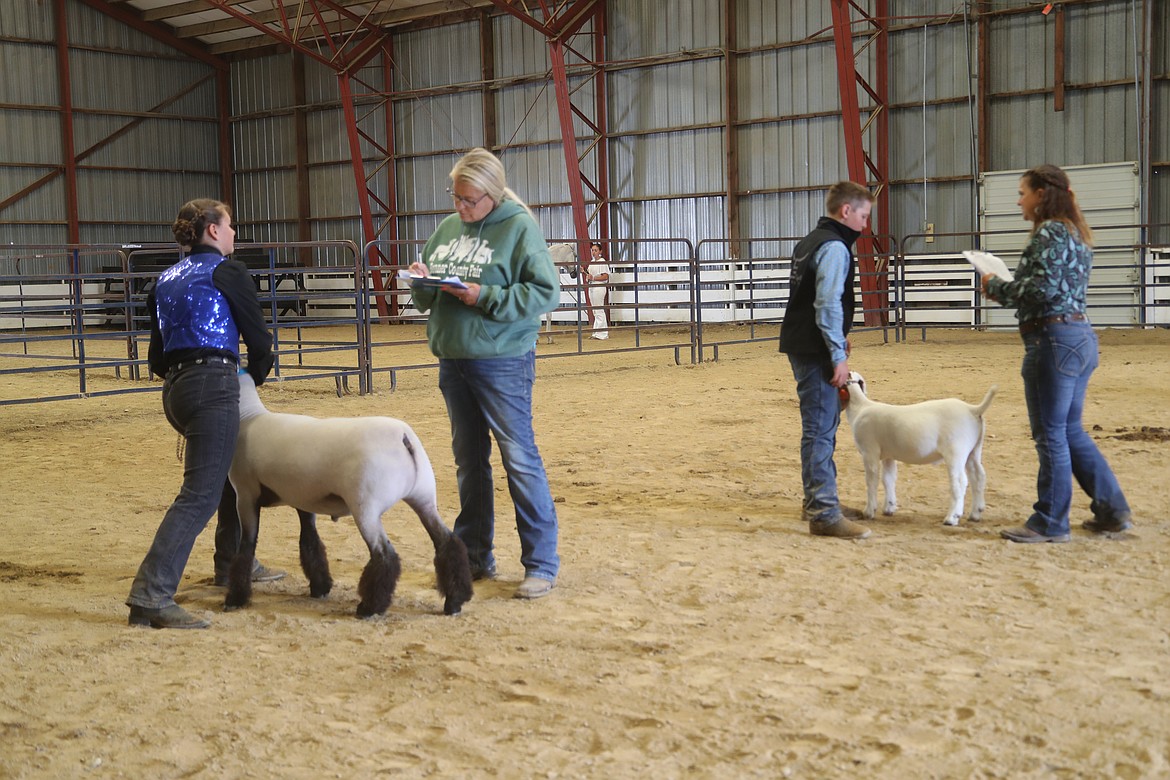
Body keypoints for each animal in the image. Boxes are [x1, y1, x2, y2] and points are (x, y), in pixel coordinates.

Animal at [223, 371, 470, 617]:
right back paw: (454, 601)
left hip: (365, 506)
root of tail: (404, 438)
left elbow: (246, 547)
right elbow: (310, 542)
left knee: (384, 555)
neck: (249, 416)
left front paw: (235, 599)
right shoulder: (302, 497)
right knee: (447, 542)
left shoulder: (245, 494)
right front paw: (320, 587)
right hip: (424, 497)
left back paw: (369, 608)